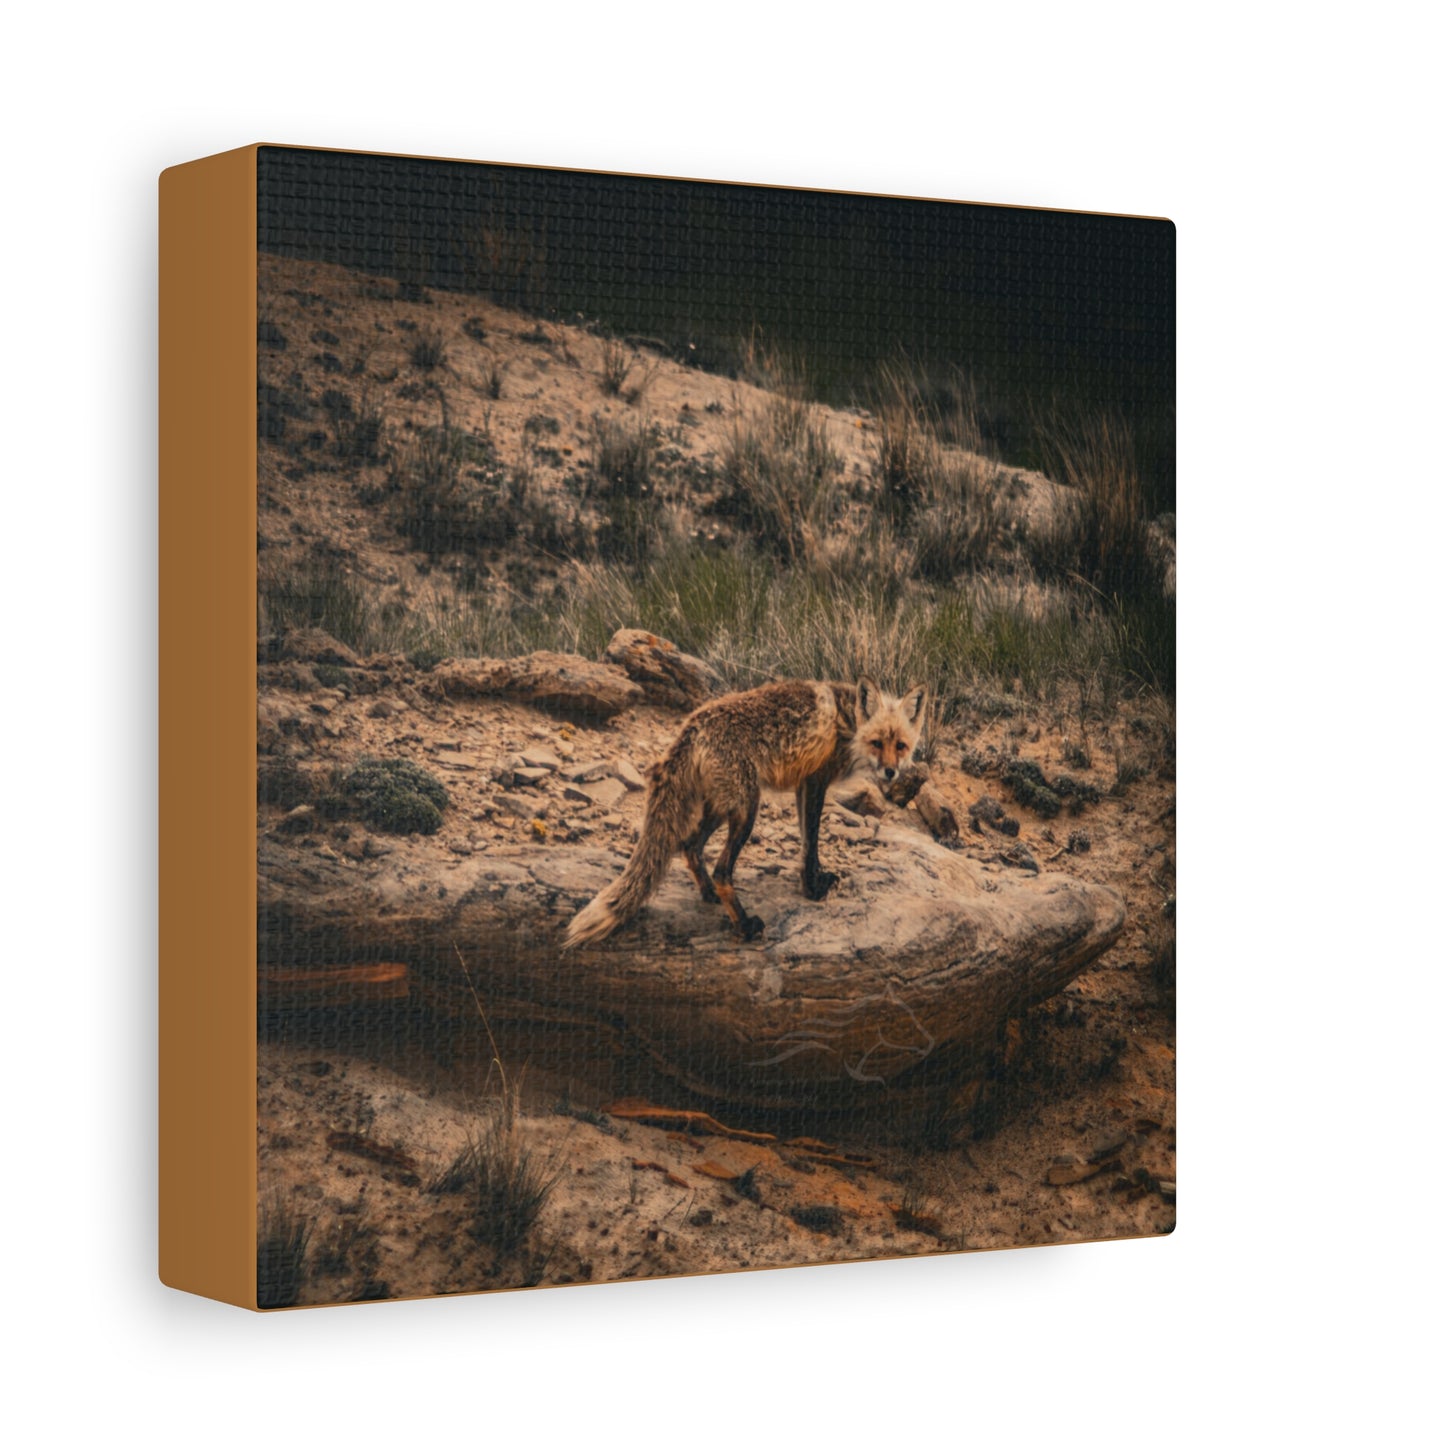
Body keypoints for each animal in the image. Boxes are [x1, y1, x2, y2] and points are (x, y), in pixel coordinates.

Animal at [562, 676, 926, 949]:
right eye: (878, 743)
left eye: (901, 745)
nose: (891, 772)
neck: (847, 722)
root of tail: (692, 726)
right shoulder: (815, 781)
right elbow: (811, 843)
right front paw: (812, 890)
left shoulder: (803, 785)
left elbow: (806, 843)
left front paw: (815, 880)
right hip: (746, 810)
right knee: (722, 870)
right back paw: (744, 925)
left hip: (721, 808)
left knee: (690, 846)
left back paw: (708, 893)